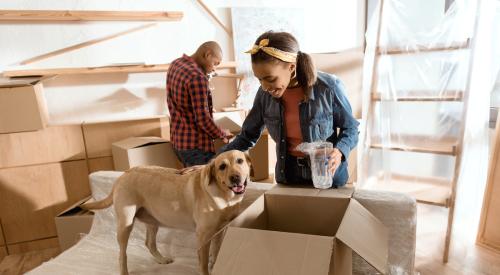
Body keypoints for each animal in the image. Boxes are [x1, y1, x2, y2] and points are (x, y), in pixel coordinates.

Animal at [83, 151, 252, 275]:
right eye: (222, 166)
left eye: (240, 161)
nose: (235, 178)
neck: (224, 195)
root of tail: (123, 174)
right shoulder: (203, 236)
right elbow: (203, 263)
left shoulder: (220, 231)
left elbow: (216, 253)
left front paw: (215, 264)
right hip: (126, 224)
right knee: (122, 254)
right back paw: (124, 271)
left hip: (152, 220)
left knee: (149, 243)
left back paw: (161, 260)